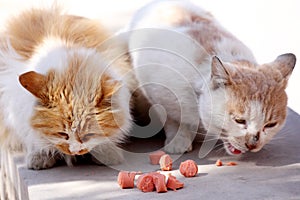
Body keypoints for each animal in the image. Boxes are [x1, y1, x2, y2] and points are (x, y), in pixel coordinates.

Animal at [0, 6, 132, 169]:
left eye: (88, 135)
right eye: (62, 134)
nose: (75, 151)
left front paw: (107, 153)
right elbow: (33, 138)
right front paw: (39, 157)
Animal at [127, 0, 296, 156]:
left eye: (271, 124)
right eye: (239, 121)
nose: (252, 145)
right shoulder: (156, 91)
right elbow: (172, 119)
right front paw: (179, 141)